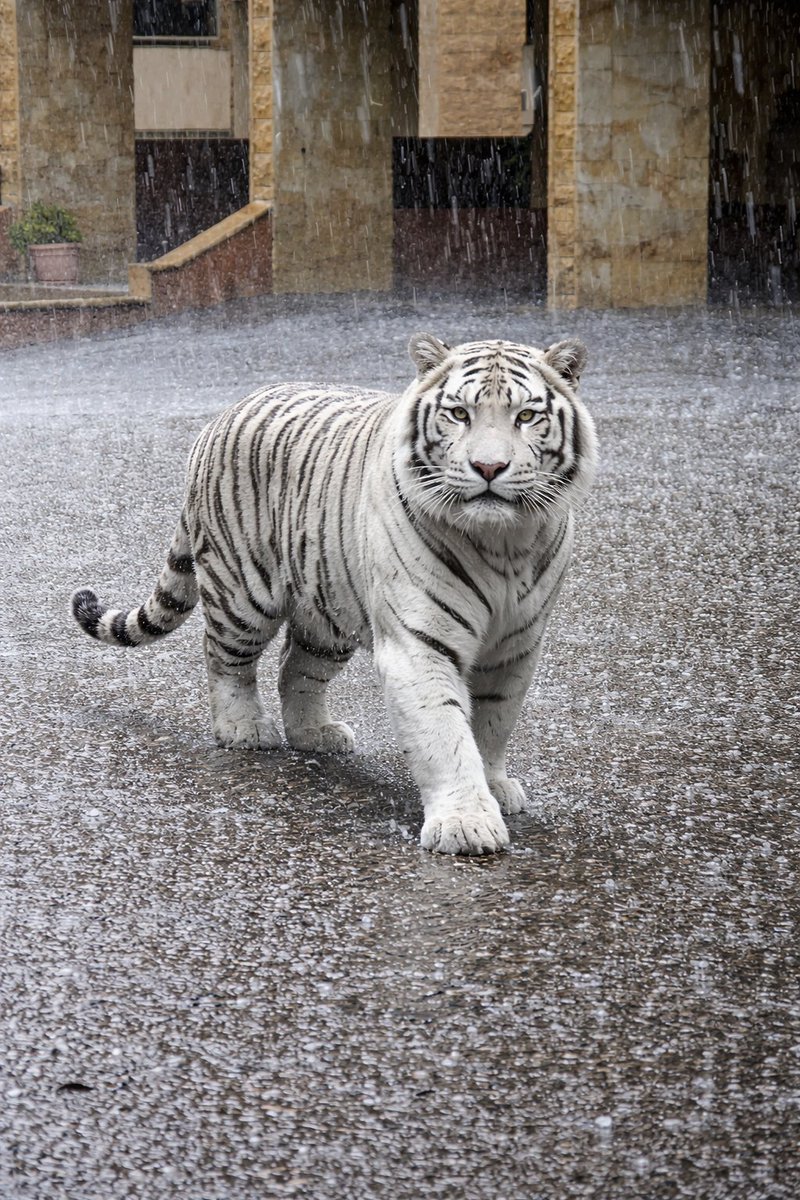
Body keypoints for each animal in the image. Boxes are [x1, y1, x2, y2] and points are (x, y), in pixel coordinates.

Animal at [72, 331, 596, 856]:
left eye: (525, 416)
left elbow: (493, 723)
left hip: (328, 608)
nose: (489, 467)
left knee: (294, 669)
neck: (504, 543)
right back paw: (242, 727)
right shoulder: (419, 643)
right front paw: (465, 824)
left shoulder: (517, 645)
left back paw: (314, 734)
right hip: (243, 594)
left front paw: (494, 787)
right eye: (459, 414)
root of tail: (225, 413)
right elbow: (445, 733)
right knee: (225, 659)